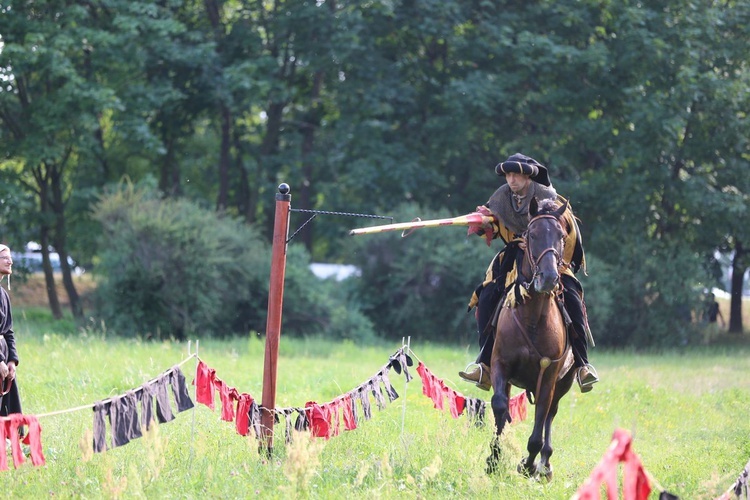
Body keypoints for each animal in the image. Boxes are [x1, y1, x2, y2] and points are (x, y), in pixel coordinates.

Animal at [488, 196, 576, 480]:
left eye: (561, 236)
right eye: (532, 234)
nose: (548, 278)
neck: (532, 319)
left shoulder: (548, 378)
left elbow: (539, 424)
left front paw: (528, 465)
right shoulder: (500, 365)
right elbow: (500, 407)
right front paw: (493, 459)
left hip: (564, 383)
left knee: (550, 414)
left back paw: (544, 465)